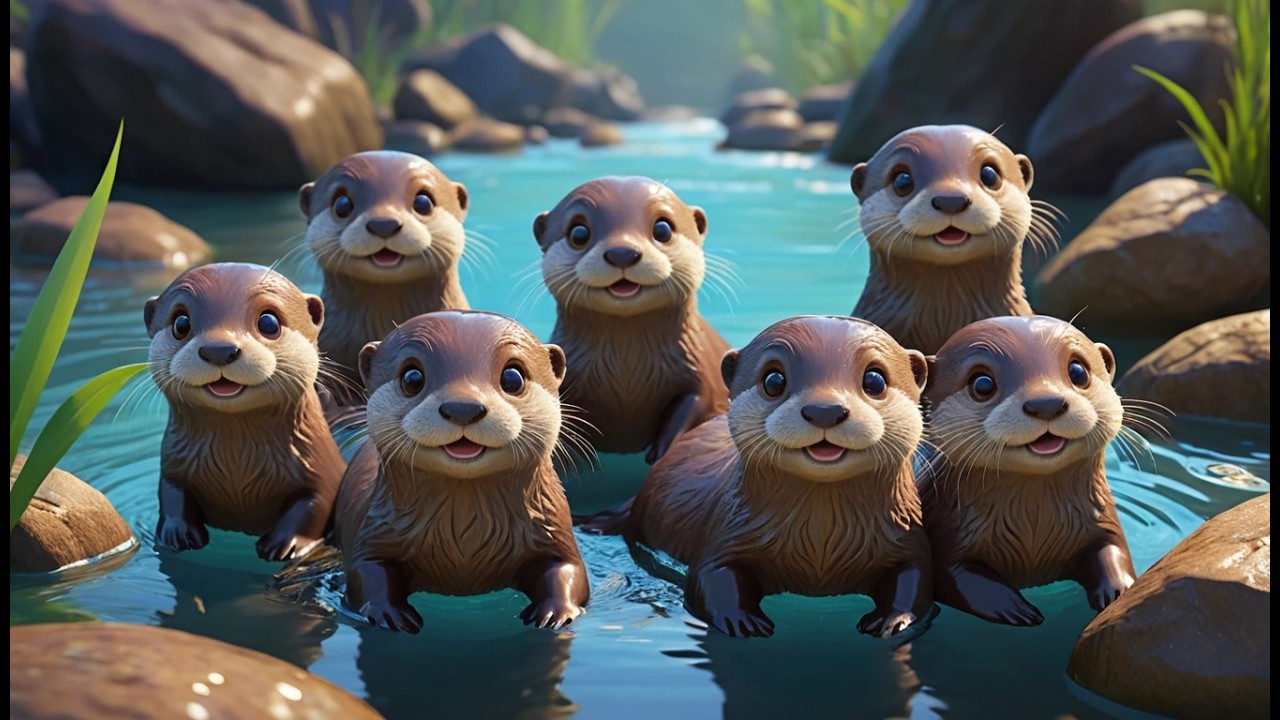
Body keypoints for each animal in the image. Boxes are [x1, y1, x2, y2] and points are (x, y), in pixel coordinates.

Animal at [145, 263, 344, 561]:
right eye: (181, 323)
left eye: (269, 322)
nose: (219, 349)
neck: (237, 466)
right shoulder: (173, 467)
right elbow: (171, 494)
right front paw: (176, 534)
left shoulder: (322, 471)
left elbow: (312, 505)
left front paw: (286, 546)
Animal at [335, 311, 589, 633]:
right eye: (412, 378)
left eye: (513, 377)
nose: (463, 407)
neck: (465, 543)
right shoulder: (374, 531)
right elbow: (366, 573)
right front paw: (387, 613)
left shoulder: (554, 528)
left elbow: (569, 571)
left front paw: (555, 612)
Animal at [534, 176, 729, 463]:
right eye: (578, 233)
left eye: (663, 228)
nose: (622, 253)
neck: (626, 369)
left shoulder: (702, 370)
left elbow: (695, 403)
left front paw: (661, 452)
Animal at [625, 315, 933, 638]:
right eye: (774, 381)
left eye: (875, 380)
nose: (825, 410)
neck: (820, 547)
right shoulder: (724, 533)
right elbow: (708, 578)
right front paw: (741, 621)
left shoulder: (906, 535)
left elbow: (916, 577)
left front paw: (894, 620)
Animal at [920, 315, 1136, 625]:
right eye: (982, 384)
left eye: (1078, 371)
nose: (1046, 403)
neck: (1034, 530)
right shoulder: (947, 531)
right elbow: (953, 575)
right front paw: (1015, 607)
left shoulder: (1104, 519)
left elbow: (1113, 551)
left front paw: (1119, 589)